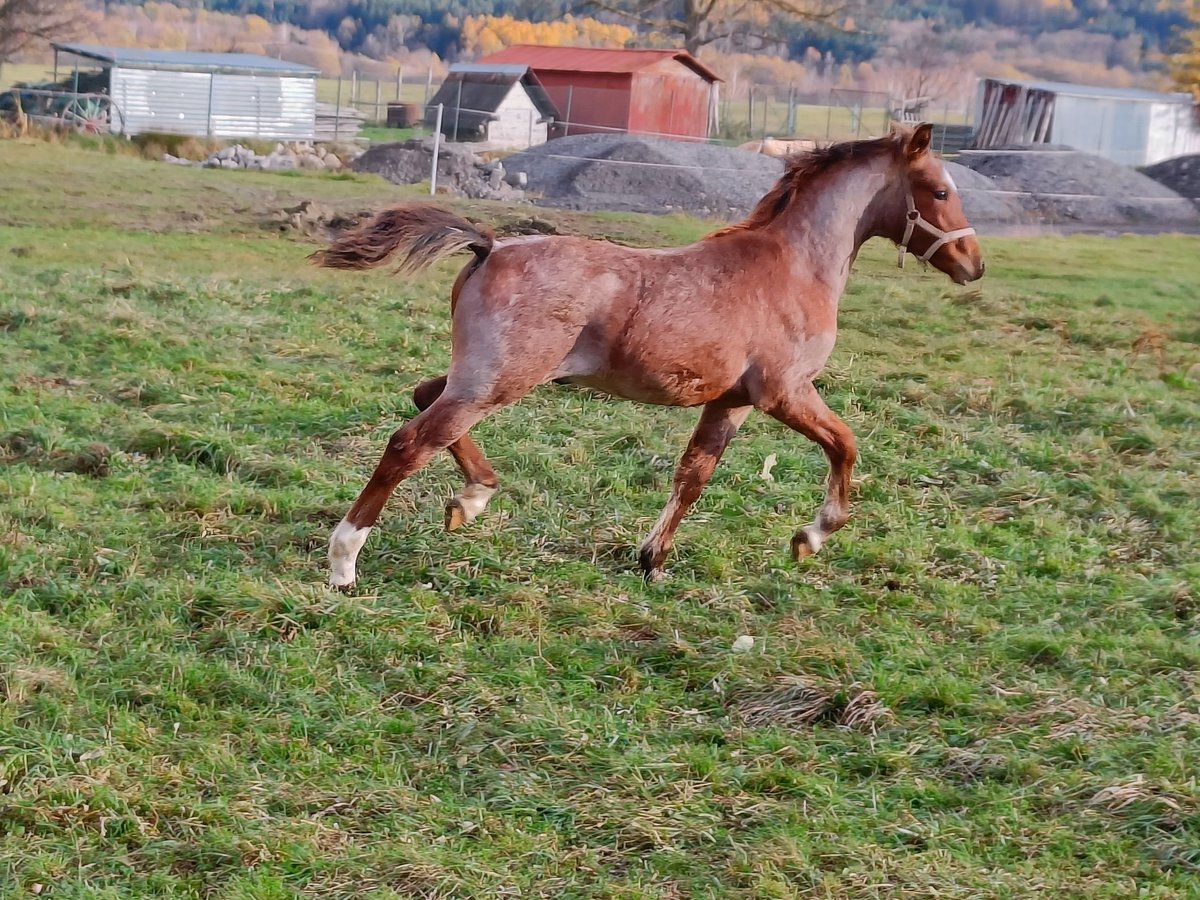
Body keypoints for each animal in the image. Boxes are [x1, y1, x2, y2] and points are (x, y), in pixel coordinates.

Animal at [314, 127, 979, 592]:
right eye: (941, 191)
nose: (973, 264)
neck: (793, 266)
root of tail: (490, 246)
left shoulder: (730, 402)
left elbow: (693, 475)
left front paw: (651, 560)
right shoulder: (784, 392)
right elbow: (845, 443)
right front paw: (809, 537)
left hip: (483, 378)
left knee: (425, 397)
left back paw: (472, 498)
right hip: (496, 382)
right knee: (410, 441)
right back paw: (345, 563)